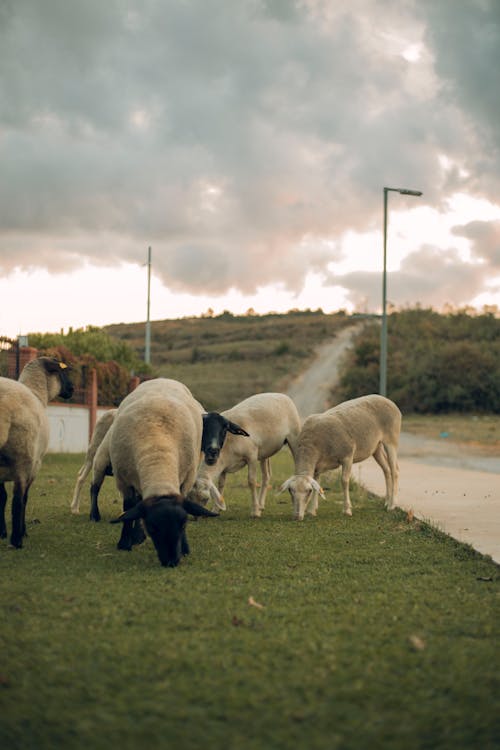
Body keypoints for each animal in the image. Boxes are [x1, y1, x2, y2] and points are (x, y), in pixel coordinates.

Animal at [0, 356, 74, 548]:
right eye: (62, 371)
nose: (72, 389)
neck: (37, 393)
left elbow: (1, 498)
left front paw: (2, 532)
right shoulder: (35, 465)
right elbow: (24, 498)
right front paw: (22, 531)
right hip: (23, 457)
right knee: (18, 499)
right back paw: (17, 540)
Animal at [87, 378, 250, 524]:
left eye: (225, 429)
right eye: (205, 427)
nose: (213, 451)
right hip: (101, 461)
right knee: (94, 487)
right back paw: (94, 516)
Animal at [282, 394, 402, 524]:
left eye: (308, 491)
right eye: (290, 490)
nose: (297, 517)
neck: (312, 447)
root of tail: (386, 399)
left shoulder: (347, 456)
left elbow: (344, 481)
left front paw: (347, 510)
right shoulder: (317, 466)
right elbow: (317, 482)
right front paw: (312, 510)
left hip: (391, 439)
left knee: (395, 470)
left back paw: (392, 505)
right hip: (376, 447)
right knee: (386, 470)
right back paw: (387, 501)